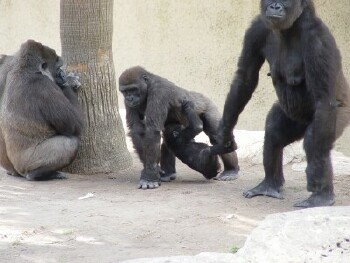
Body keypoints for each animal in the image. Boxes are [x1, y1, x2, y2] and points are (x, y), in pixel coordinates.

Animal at [0, 40, 83, 182]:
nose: (62, 75)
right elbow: (75, 125)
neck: (24, 69)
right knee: (70, 142)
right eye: (58, 67)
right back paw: (38, 174)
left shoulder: (8, 66)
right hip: (26, 164)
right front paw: (68, 82)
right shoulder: (43, 85)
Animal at [217, 1, 348, 209]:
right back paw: (269, 185)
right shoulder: (256, 29)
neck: (290, 28)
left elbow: (323, 99)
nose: (275, 6)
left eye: (286, 1)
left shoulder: (318, 41)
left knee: (314, 137)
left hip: (340, 114)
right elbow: (245, 78)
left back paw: (322, 197)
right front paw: (225, 131)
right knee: (273, 132)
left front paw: (315, 173)